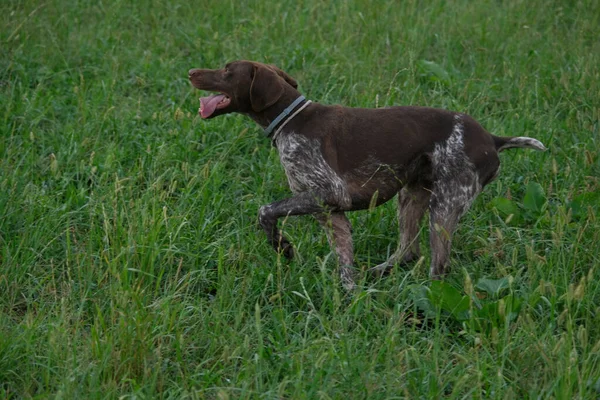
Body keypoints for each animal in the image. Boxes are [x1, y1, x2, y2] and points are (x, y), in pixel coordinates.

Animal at [189, 60, 548, 290]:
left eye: (227, 71)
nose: (191, 71)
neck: (291, 120)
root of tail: (492, 139)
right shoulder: (329, 210)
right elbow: (345, 263)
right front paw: (349, 297)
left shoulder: (329, 193)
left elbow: (265, 211)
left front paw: (282, 246)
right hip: (412, 194)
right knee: (409, 251)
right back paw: (379, 275)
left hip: (444, 206)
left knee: (438, 267)